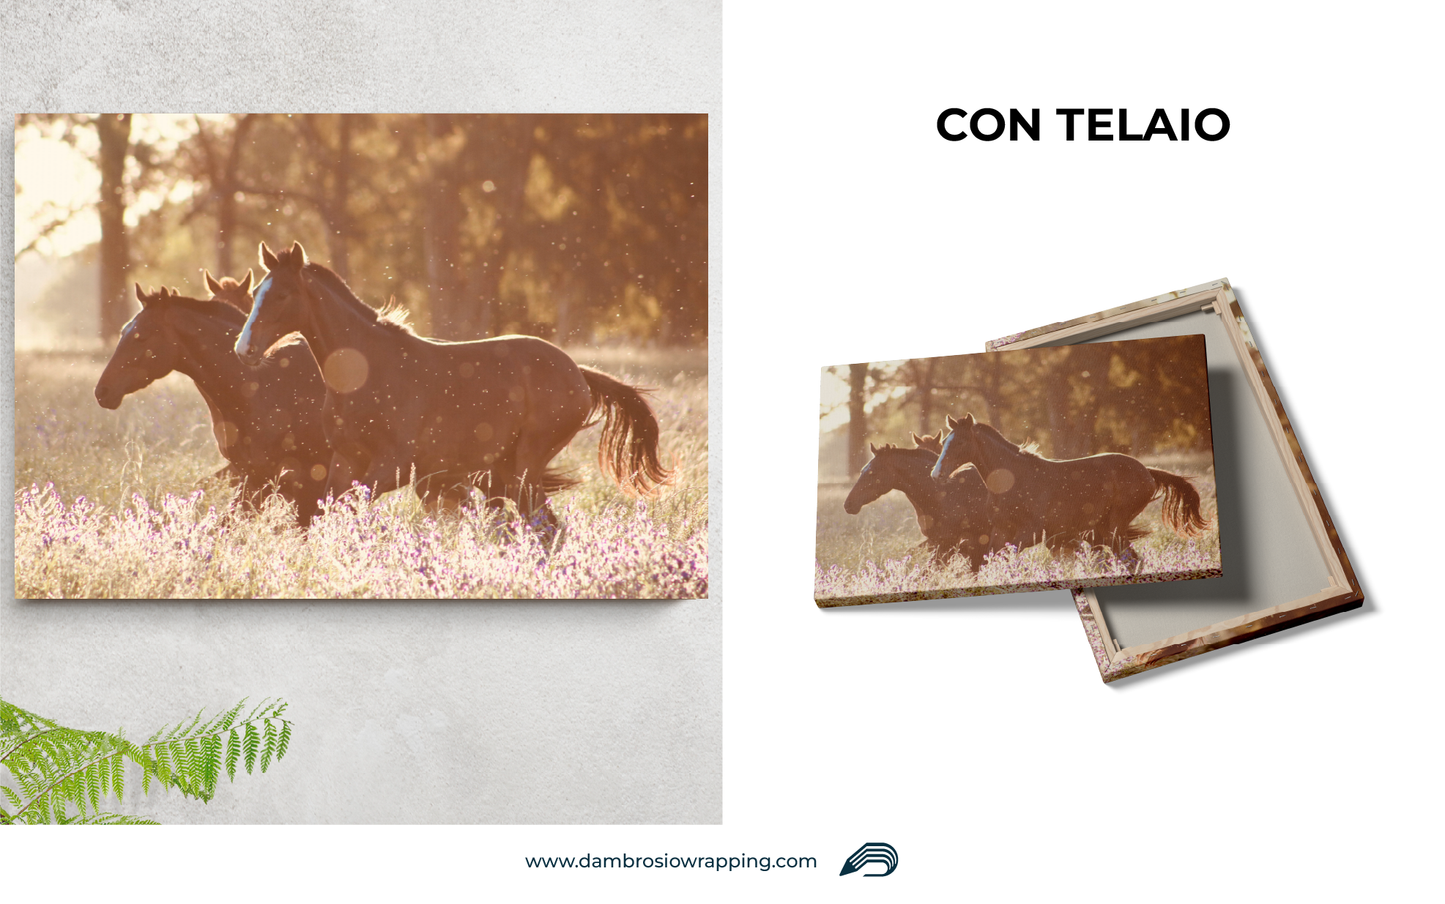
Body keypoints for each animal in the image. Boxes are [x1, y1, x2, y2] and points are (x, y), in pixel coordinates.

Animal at [95, 281, 333, 525]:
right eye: (124, 331)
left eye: (141, 336)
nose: (102, 391)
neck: (265, 386)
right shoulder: (253, 479)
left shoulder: (306, 485)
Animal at [232, 241, 671, 526]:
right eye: (257, 292)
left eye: (283, 294)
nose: (243, 348)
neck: (366, 372)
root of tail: (578, 372)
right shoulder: (346, 461)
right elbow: (327, 511)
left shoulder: (393, 467)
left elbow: (348, 510)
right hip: (503, 471)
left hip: (525, 467)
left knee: (545, 527)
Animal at [929, 412, 1209, 562]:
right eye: (944, 442)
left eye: (960, 442)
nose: (936, 474)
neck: (1013, 480)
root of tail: (1147, 472)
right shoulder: (1000, 530)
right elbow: (990, 558)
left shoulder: (1032, 533)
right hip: (1101, 532)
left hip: (1113, 528)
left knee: (1130, 561)